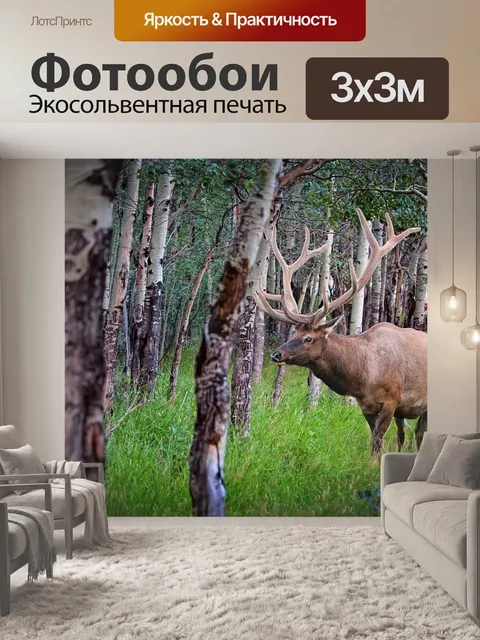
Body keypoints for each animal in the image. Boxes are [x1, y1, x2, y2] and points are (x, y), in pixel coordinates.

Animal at [253, 209, 427, 456]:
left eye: (308, 338)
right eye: (293, 332)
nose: (277, 354)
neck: (365, 375)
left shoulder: (392, 400)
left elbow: (377, 441)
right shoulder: (367, 406)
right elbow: (376, 441)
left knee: (420, 433)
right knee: (406, 435)